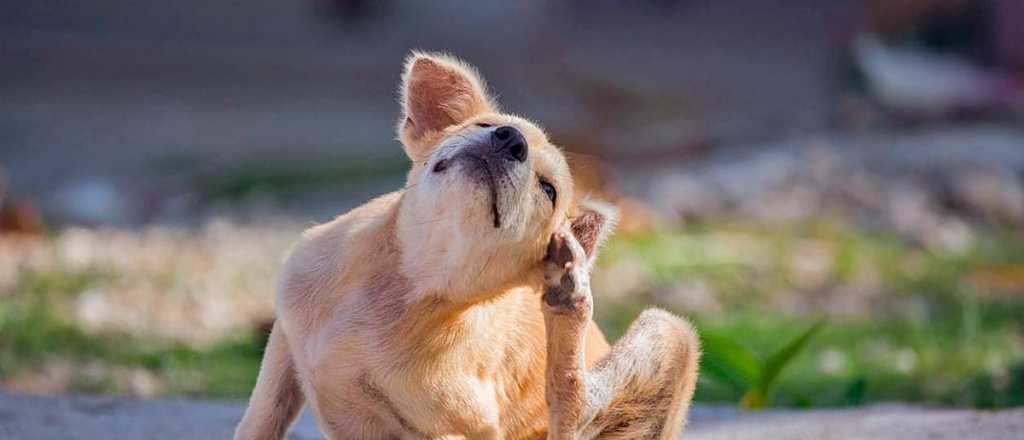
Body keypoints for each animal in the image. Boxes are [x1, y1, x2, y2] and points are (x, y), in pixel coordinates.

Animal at [234, 52, 700, 440]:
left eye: (548, 189)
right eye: (484, 126)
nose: (511, 139)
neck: (411, 280)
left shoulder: (457, 430)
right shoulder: (283, 341)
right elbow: (260, 418)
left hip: (670, 333)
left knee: (571, 412)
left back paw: (569, 300)